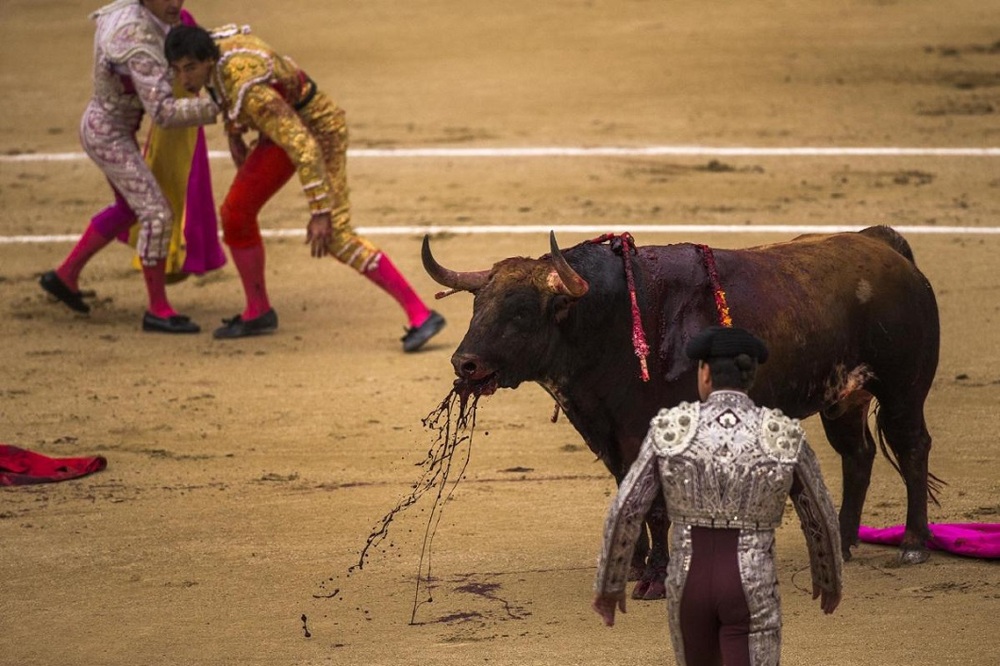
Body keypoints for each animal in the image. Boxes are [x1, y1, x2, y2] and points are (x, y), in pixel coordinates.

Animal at [424, 227, 944, 596]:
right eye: (477, 306)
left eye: (521, 312)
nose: (465, 363)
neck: (607, 321)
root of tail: (886, 247)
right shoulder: (611, 436)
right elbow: (628, 495)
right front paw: (632, 564)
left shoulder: (649, 432)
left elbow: (655, 507)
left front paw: (655, 577)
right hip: (843, 398)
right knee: (858, 455)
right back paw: (845, 541)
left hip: (902, 391)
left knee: (913, 448)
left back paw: (912, 545)